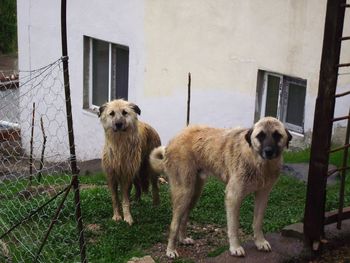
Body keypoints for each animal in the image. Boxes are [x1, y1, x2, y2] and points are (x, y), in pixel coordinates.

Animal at [150, 117, 292, 258]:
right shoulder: (233, 196)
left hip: (195, 193)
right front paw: (235, 247)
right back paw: (170, 250)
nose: (268, 151)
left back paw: (183, 239)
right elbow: (234, 226)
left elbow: (258, 222)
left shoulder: (263, 195)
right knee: (174, 223)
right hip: (184, 192)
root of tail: (174, 138)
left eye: (277, 135)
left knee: (184, 217)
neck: (259, 163)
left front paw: (260, 242)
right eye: (260, 136)